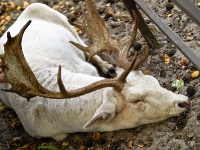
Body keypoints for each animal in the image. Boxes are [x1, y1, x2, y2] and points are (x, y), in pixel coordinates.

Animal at [0, 0, 191, 141]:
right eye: (135, 100)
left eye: (153, 80)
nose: (184, 101)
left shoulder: (87, 70)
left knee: (84, 45)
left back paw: (107, 67)